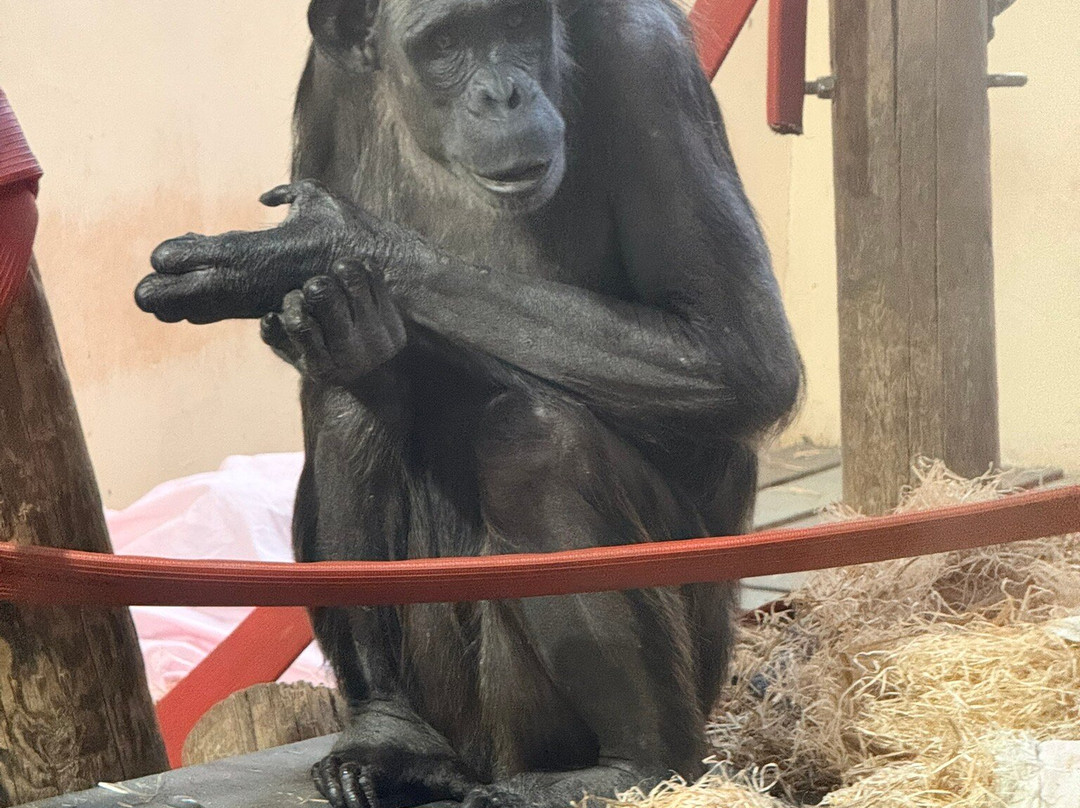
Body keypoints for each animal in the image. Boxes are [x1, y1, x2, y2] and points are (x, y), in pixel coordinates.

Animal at [134, 1, 802, 807]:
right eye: (447, 43)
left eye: (513, 24)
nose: (501, 94)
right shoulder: (324, 86)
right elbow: (344, 372)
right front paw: (345, 326)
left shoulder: (648, 65)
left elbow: (735, 354)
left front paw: (309, 246)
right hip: (460, 719)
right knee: (347, 409)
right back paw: (391, 742)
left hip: (601, 697)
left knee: (537, 446)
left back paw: (634, 765)